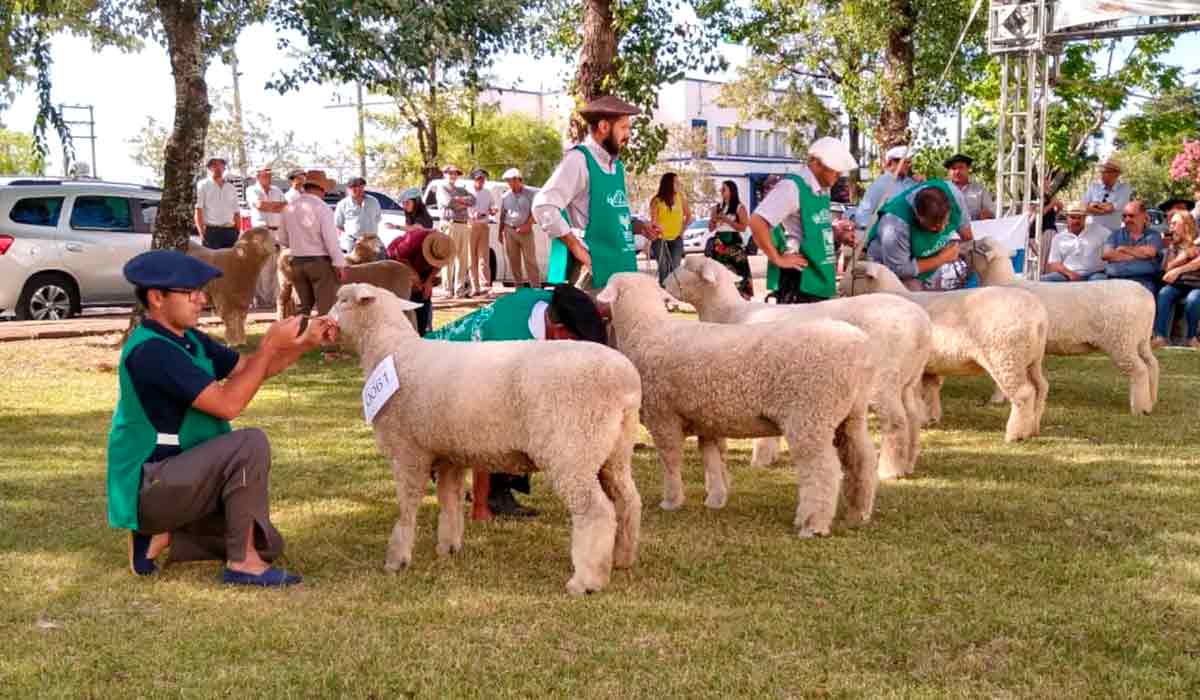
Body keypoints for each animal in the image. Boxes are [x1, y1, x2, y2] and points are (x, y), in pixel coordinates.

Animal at [328, 282, 648, 595]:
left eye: (343, 300)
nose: (324, 320)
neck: (391, 351)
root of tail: (627, 382)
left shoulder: (408, 451)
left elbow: (407, 507)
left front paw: (397, 559)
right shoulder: (448, 455)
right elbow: (450, 501)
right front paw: (448, 548)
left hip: (573, 448)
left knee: (596, 512)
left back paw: (586, 581)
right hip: (613, 451)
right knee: (628, 501)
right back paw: (622, 559)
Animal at [604, 272, 878, 537]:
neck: (645, 330)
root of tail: (860, 347)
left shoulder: (663, 417)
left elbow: (671, 461)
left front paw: (671, 501)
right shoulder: (707, 421)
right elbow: (712, 460)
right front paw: (716, 499)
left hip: (811, 415)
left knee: (823, 471)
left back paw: (813, 524)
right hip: (850, 414)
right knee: (862, 459)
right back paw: (859, 513)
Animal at [672, 256, 931, 482]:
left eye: (686, 266)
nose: (664, 281)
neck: (730, 314)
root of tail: (922, 326)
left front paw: (759, 460)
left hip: (885, 378)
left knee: (896, 422)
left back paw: (890, 470)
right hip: (908, 379)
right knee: (913, 416)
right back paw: (908, 463)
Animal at [840, 262, 1046, 444]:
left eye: (854, 272)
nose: (840, 288)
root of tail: (1039, 318)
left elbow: (918, 394)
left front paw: (922, 418)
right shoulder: (928, 367)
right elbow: (930, 391)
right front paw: (930, 418)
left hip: (1006, 356)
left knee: (1024, 393)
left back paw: (1015, 435)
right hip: (1031, 360)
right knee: (1041, 388)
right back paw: (1033, 428)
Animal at [960, 241, 1156, 415]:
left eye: (977, 245)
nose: (960, 248)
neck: (1002, 281)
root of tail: (1146, 295)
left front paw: (996, 399)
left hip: (1122, 341)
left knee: (1140, 371)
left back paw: (1139, 408)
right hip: (1140, 340)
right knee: (1152, 364)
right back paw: (1151, 401)